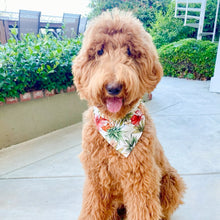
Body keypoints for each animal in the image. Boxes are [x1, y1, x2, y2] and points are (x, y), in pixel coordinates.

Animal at [72, 7, 186, 219]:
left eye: (129, 52)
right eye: (99, 51)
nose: (113, 87)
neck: (115, 126)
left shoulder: (141, 179)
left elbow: (144, 210)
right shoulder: (96, 180)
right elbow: (92, 210)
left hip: (171, 181)